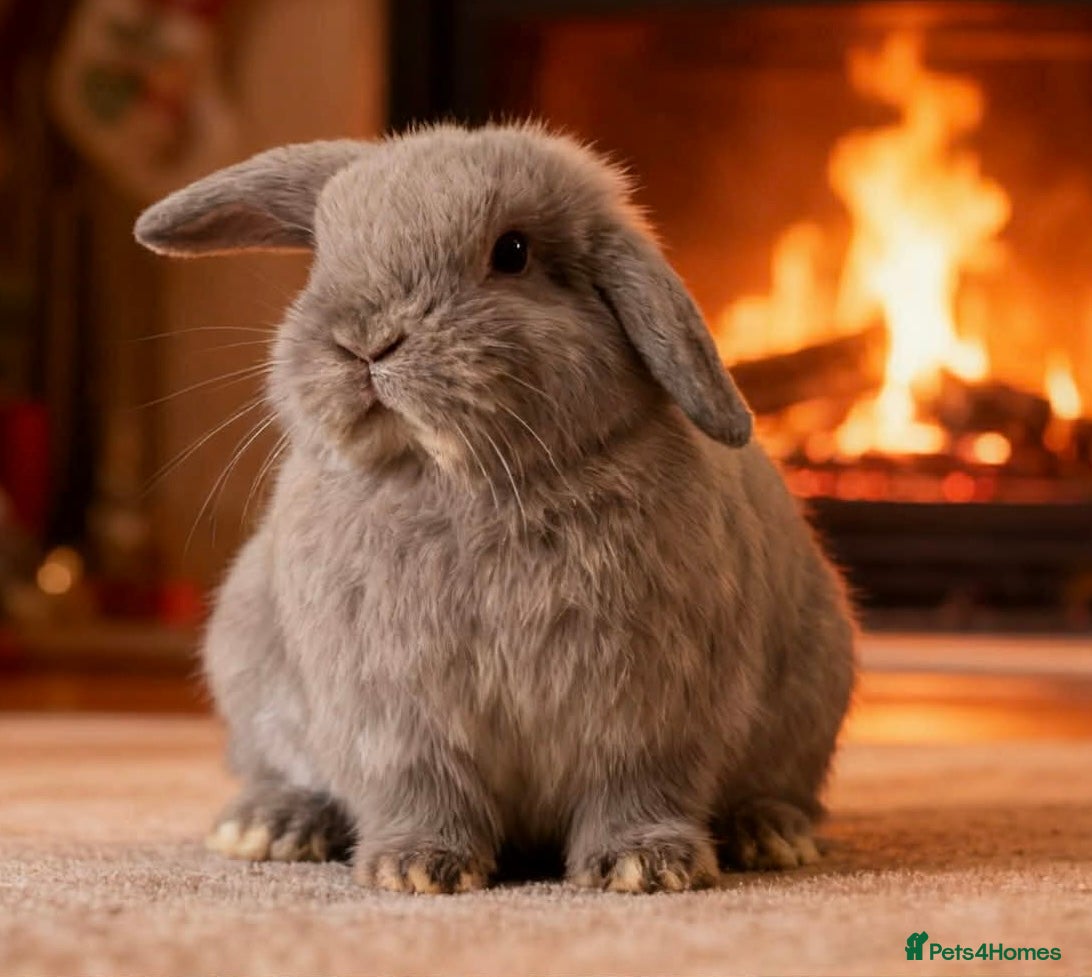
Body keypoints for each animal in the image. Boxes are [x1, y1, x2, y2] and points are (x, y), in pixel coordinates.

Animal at [134, 122, 856, 894]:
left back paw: (771, 834)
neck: (468, 484)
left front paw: (642, 866)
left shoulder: (653, 709)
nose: (363, 341)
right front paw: (415, 868)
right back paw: (268, 828)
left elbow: (637, 786)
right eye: (324, 254)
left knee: (780, 791)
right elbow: (420, 788)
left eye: (512, 252)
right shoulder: (393, 716)